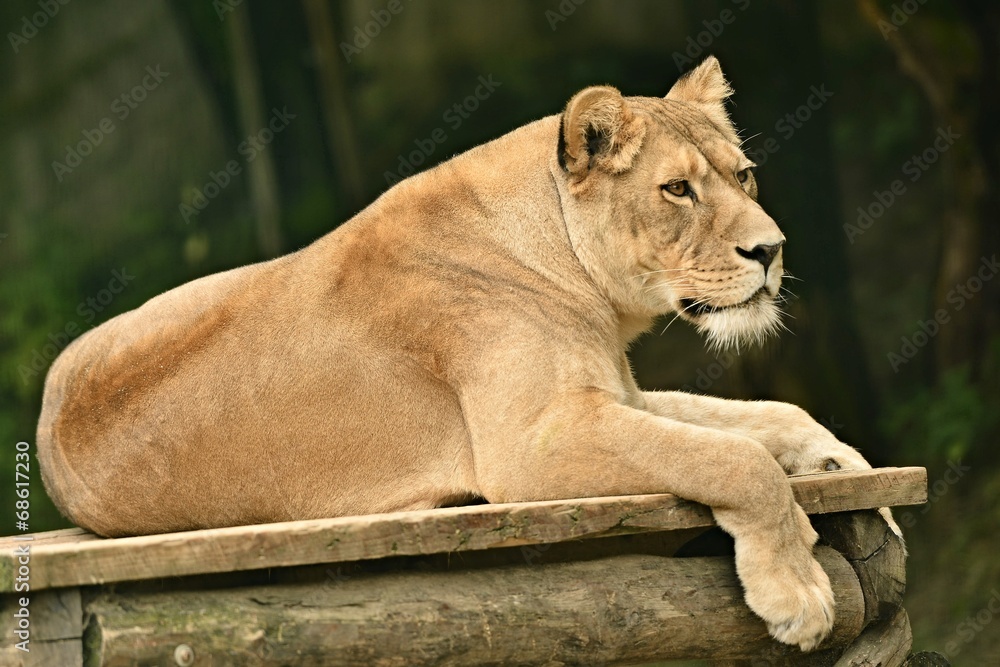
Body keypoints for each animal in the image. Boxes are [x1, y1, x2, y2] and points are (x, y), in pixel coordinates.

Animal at [37, 56, 894, 651]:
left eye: (743, 175)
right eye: (677, 190)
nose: (771, 250)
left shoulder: (617, 396)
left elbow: (762, 415)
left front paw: (851, 473)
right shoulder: (532, 444)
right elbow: (730, 457)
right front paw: (797, 589)